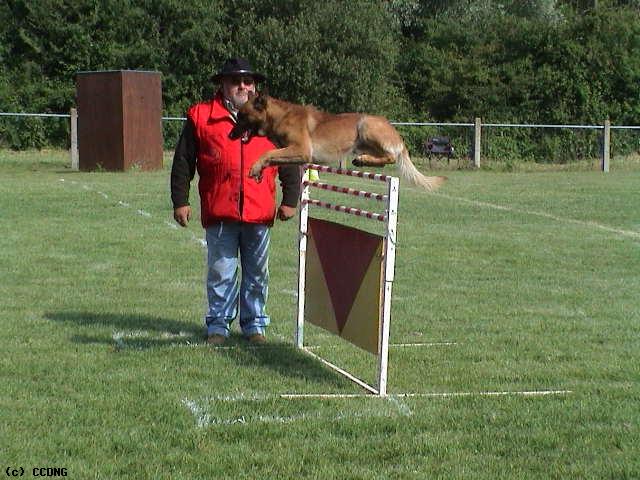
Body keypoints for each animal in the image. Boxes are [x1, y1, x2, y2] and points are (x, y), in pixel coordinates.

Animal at [229, 92, 444, 191]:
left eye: (242, 116)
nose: (230, 135)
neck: (279, 117)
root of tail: (396, 133)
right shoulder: (290, 152)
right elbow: (271, 156)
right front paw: (259, 169)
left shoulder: (301, 150)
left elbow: (268, 153)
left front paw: (255, 167)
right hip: (364, 143)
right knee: (383, 158)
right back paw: (363, 160)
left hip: (366, 125)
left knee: (390, 157)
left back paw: (363, 160)